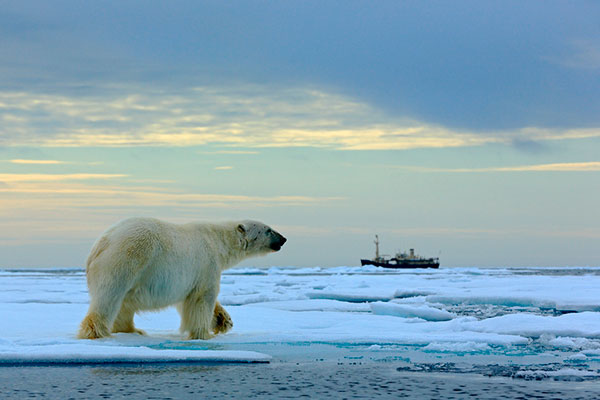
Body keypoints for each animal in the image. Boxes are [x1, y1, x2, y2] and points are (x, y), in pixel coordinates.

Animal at [77, 217, 286, 340]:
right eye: (268, 230)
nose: (283, 239)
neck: (218, 241)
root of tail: (101, 243)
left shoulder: (187, 277)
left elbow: (189, 298)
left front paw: (223, 321)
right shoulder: (207, 263)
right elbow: (203, 298)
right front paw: (203, 334)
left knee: (124, 303)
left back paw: (133, 330)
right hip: (127, 257)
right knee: (110, 296)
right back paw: (96, 332)